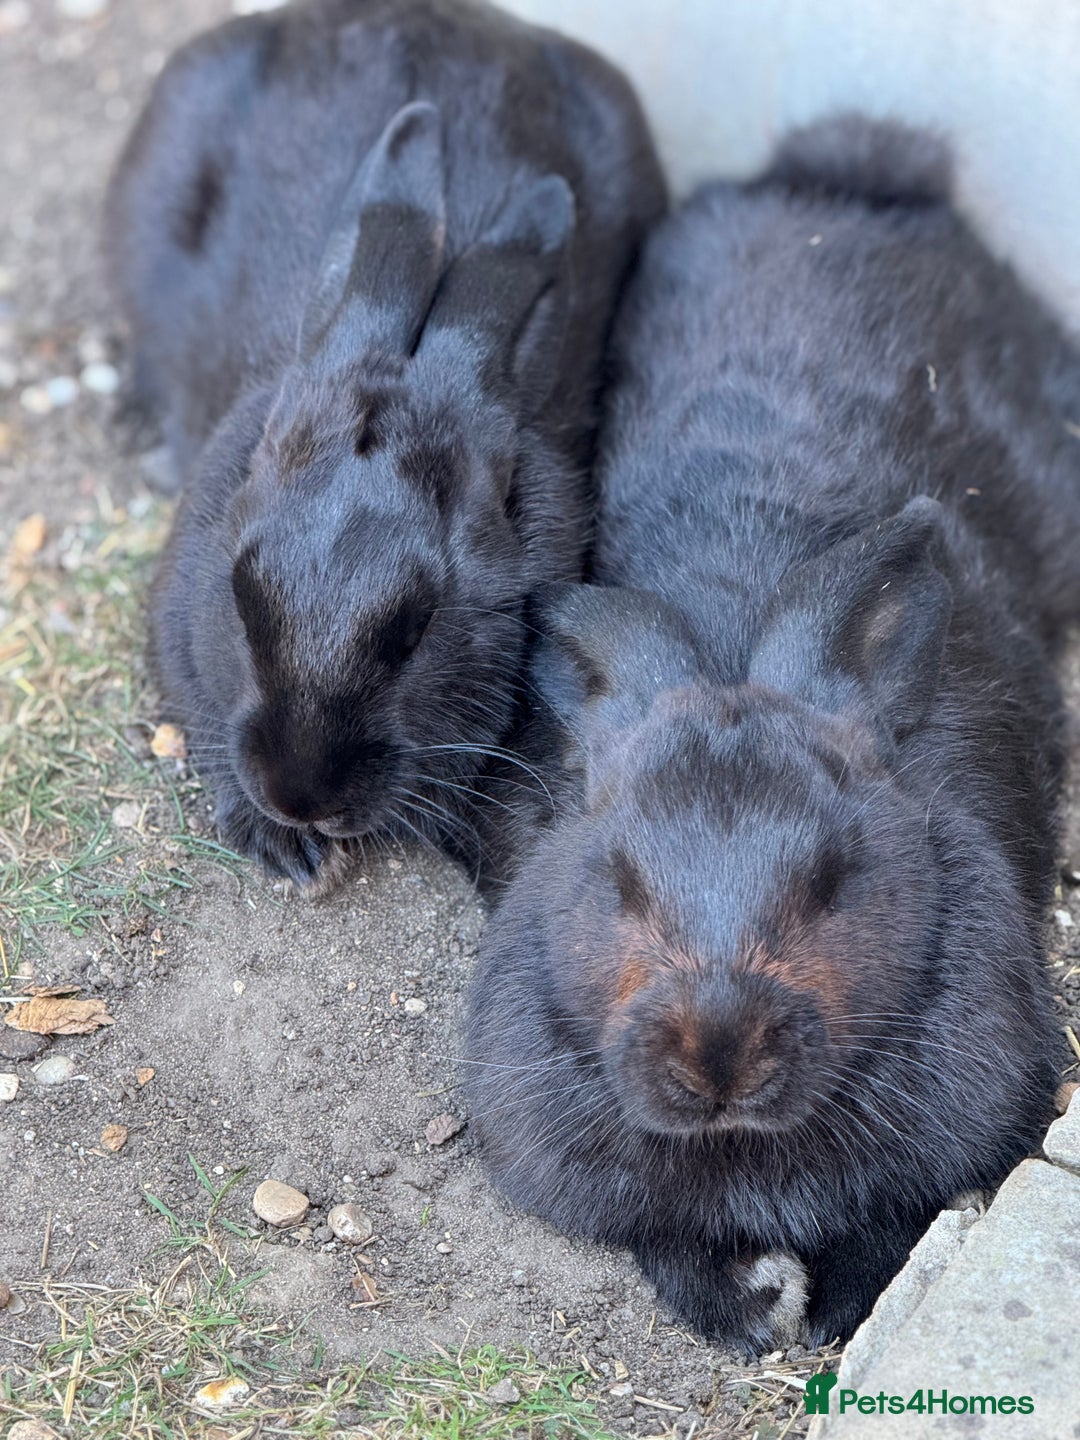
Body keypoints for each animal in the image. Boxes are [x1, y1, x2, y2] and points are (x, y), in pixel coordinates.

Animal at [463, 116, 1079, 1349]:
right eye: (623, 883)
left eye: (832, 880)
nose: (717, 1055)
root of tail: (848, 178)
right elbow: (668, 1248)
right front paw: (752, 1310)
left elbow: (892, 1237)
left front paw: (827, 1313)